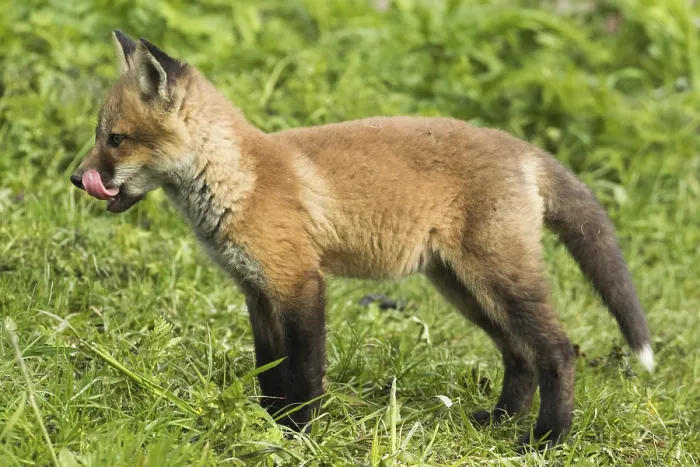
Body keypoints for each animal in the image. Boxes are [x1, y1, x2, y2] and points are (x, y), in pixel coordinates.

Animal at [70, 30, 654, 450]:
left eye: (115, 139)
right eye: (101, 135)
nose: (77, 179)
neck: (239, 179)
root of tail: (522, 147)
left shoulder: (301, 283)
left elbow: (305, 373)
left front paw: (299, 434)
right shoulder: (257, 290)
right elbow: (269, 371)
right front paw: (267, 424)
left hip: (500, 282)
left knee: (557, 350)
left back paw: (548, 438)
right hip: (464, 290)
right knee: (520, 357)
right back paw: (498, 421)